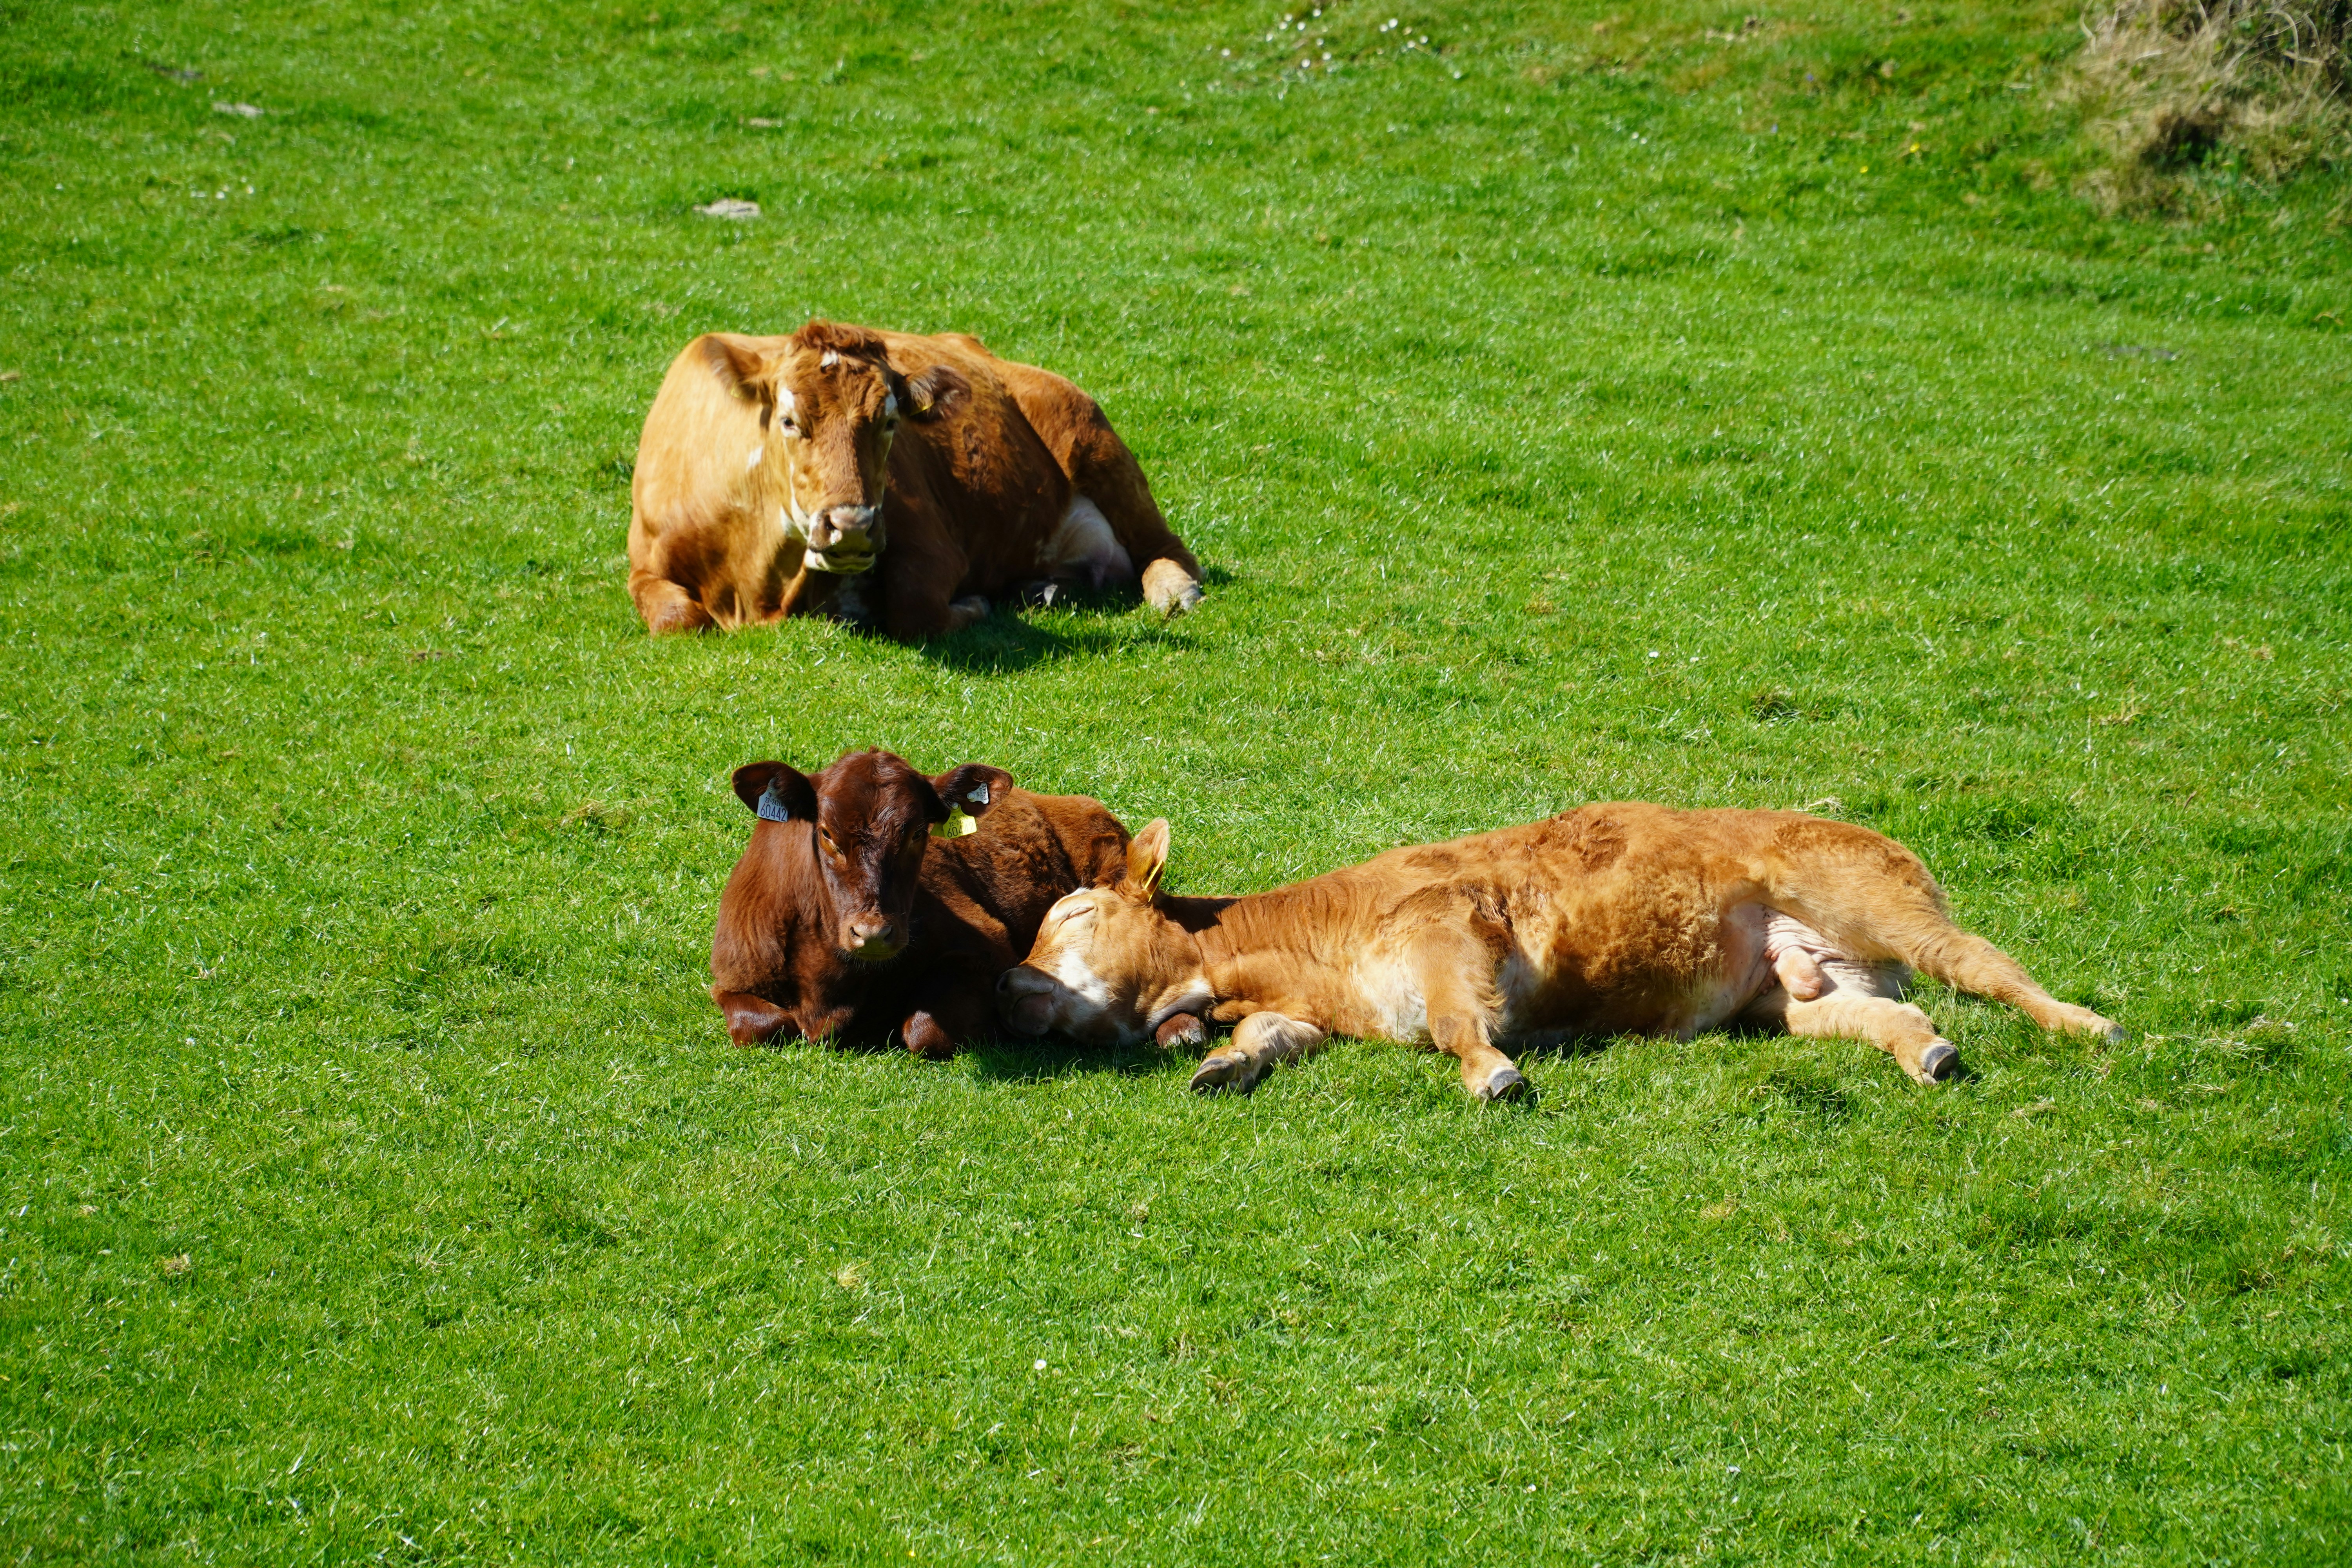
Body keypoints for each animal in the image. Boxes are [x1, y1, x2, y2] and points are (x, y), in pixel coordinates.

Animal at [628, 321, 1205, 642]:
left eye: (889, 421)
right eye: (790, 421)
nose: (851, 526)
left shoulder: (931, 542)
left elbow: (915, 607)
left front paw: (974, 606)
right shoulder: (644, 565)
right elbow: (678, 617)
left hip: (1091, 437)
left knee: (1165, 547)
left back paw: (1174, 591)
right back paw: (1045, 591)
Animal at [711, 747, 1172, 1061]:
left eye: (919, 832)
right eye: (826, 833)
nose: (873, 933)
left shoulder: (988, 950)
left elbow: (924, 1030)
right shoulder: (731, 974)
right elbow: (762, 1026)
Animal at [996, 803, 2123, 1100]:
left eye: (1077, 915)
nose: (1008, 979)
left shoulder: (1450, 935)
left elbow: (1463, 1026)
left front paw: (1494, 1074)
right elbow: (1277, 1036)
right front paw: (1225, 1060)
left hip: (1883, 903)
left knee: (1988, 966)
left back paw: (2087, 1024)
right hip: (1796, 992)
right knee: (1893, 1011)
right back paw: (1926, 1053)